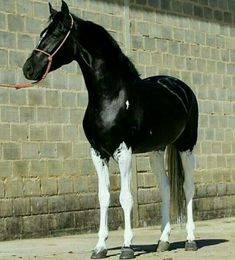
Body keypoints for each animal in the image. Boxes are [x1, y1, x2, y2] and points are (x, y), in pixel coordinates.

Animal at [22, 1, 198, 258]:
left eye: (56, 34)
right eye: (42, 33)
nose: (28, 69)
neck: (111, 97)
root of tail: (180, 87)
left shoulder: (123, 152)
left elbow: (126, 198)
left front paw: (126, 247)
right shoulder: (97, 153)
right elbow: (104, 197)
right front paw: (100, 247)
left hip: (187, 146)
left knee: (188, 188)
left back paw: (191, 240)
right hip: (156, 150)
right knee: (165, 189)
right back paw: (163, 241)